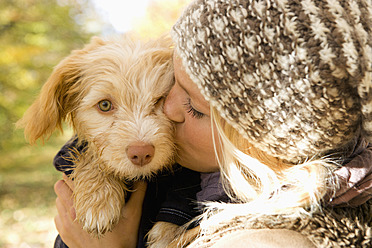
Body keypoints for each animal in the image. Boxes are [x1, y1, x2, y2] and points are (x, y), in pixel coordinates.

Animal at [17, 34, 179, 238]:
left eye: (161, 100)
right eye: (104, 105)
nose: (141, 153)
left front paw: (168, 232)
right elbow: (93, 155)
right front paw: (99, 199)